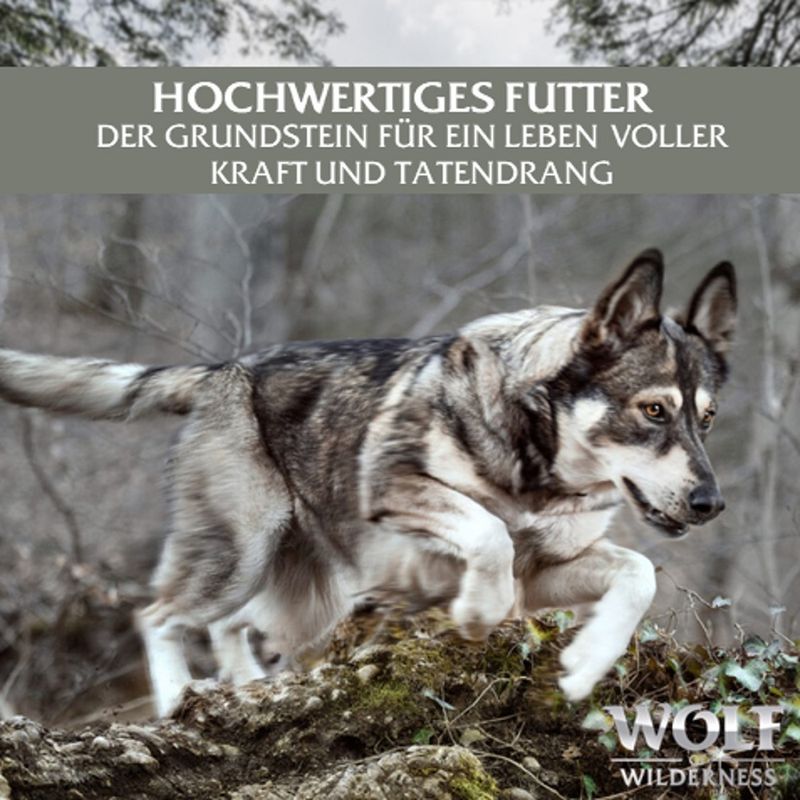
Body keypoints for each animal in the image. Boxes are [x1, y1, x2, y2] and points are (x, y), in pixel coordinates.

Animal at [0, 250, 736, 716]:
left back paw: (245, 685)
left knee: (228, 626)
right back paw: (181, 696)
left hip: (297, 588)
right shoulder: (399, 490)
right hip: (241, 555)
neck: (538, 465)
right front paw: (478, 611)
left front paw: (586, 663)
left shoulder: (549, 570)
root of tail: (220, 371)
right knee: (157, 616)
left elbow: (637, 574)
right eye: (653, 411)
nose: (711, 503)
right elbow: (490, 533)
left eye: (707, 418)